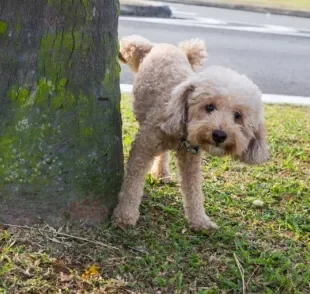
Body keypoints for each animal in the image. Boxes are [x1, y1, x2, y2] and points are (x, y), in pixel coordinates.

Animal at [112, 35, 268, 232]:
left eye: (237, 116)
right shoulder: (143, 146)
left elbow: (193, 190)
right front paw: (125, 215)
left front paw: (200, 220)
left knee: (163, 154)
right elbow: (132, 183)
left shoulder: (190, 158)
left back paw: (161, 173)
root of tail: (167, 46)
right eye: (209, 107)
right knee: (131, 43)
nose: (219, 135)